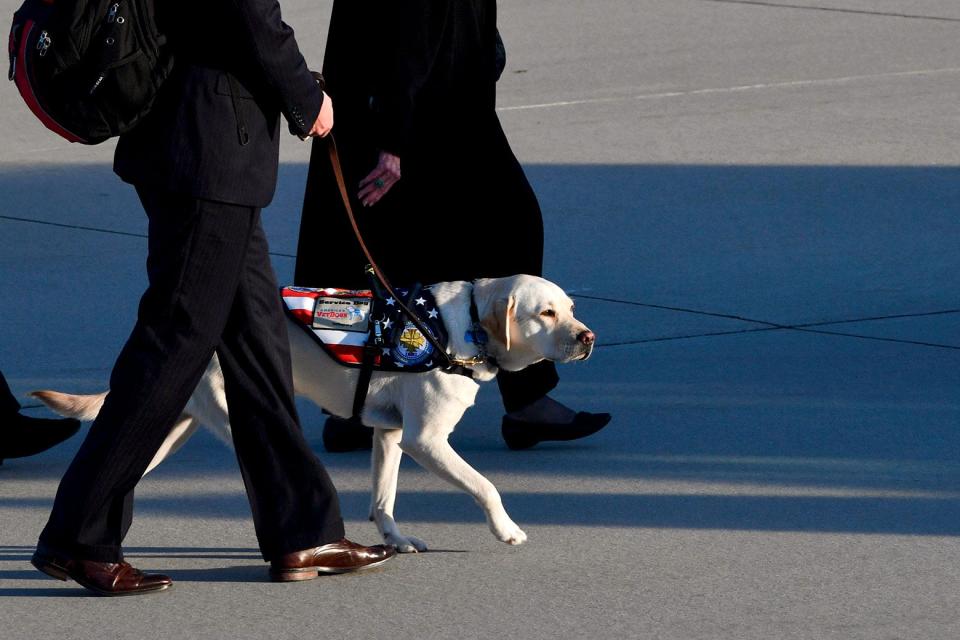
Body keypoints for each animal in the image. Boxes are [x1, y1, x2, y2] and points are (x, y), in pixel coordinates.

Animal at [33, 272, 596, 552]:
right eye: (545, 313)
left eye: (570, 308)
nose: (588, 337)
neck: (469, 325)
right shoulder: (426, 440)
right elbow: (486, 486)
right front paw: (506, 529)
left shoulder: (391, 435)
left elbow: (383, 499)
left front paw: (393, 540)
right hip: (236, 417)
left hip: (172, 428)